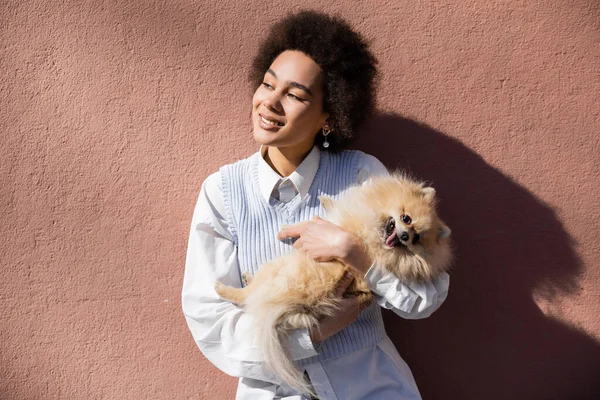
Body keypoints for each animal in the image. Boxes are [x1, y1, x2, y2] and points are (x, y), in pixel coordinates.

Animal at [213, 174, 452, 394]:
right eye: (406, 218)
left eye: (415, 239)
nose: (404, 236)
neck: (375, 228)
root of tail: (305, 304)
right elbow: (335, 207)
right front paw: (326, 199)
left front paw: (293, 224)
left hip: (279, 271)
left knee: (250, 296)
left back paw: (225, 289)